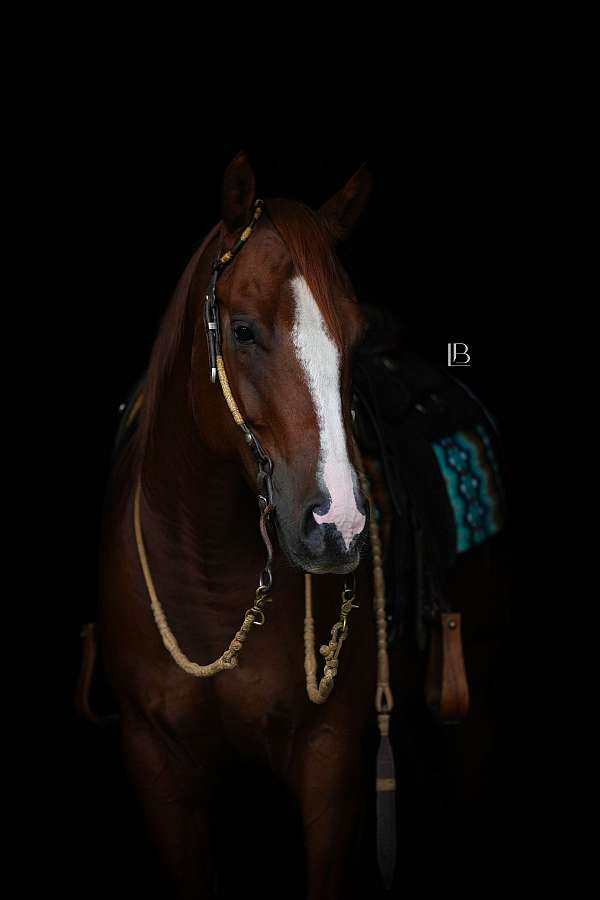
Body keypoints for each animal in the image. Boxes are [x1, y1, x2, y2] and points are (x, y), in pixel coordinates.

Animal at [96, 151, 514, 899]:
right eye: (242, 330)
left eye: (355, 335)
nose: (337, 524)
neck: (210, 582)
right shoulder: (155, 759)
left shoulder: (331, 761)